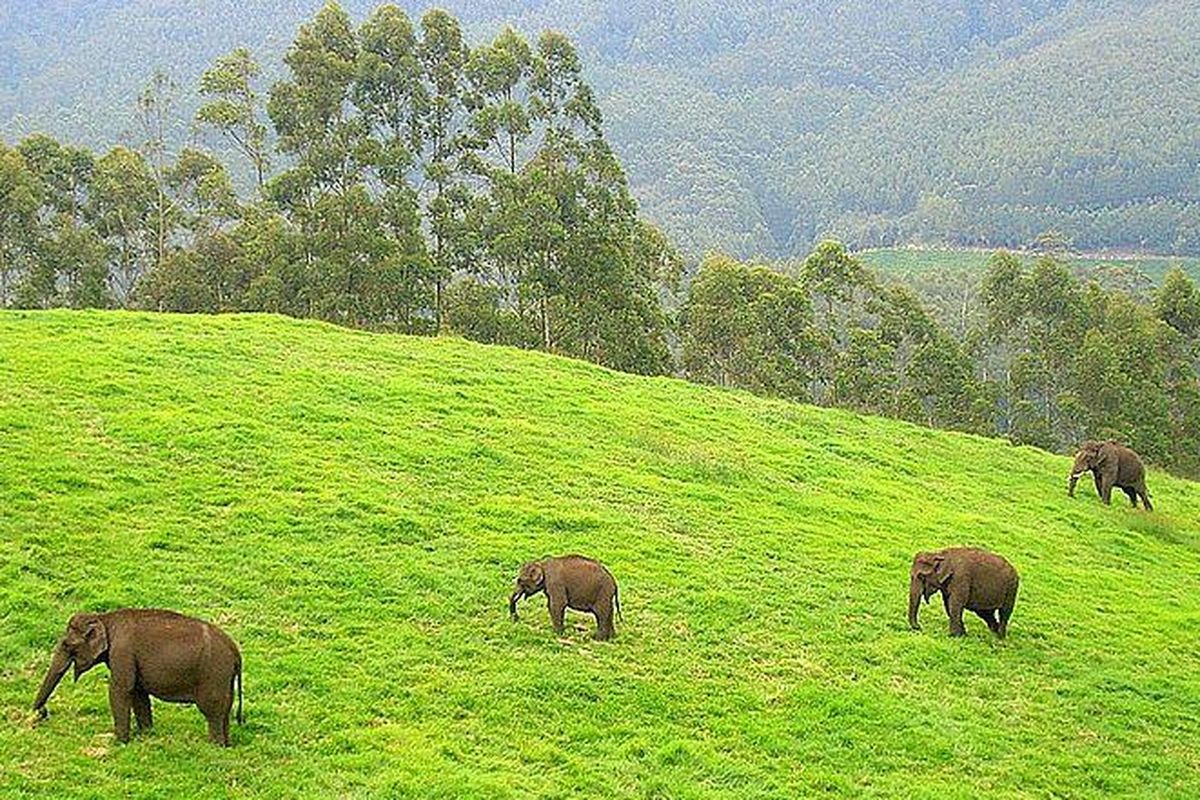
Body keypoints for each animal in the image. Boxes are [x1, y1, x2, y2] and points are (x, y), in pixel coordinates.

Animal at [32, 609, 241, 748]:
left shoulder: (122, 650)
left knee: (212, 710)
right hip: (225, 678)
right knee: (225, 710)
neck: (104, 618)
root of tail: (235, 650)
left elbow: (120, 689)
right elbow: (138, 694)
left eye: (67, 645)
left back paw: (213, 746)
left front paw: (118, 742)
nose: (42, 713)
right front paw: (146, 734)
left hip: (213, 673)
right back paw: (226, 745)